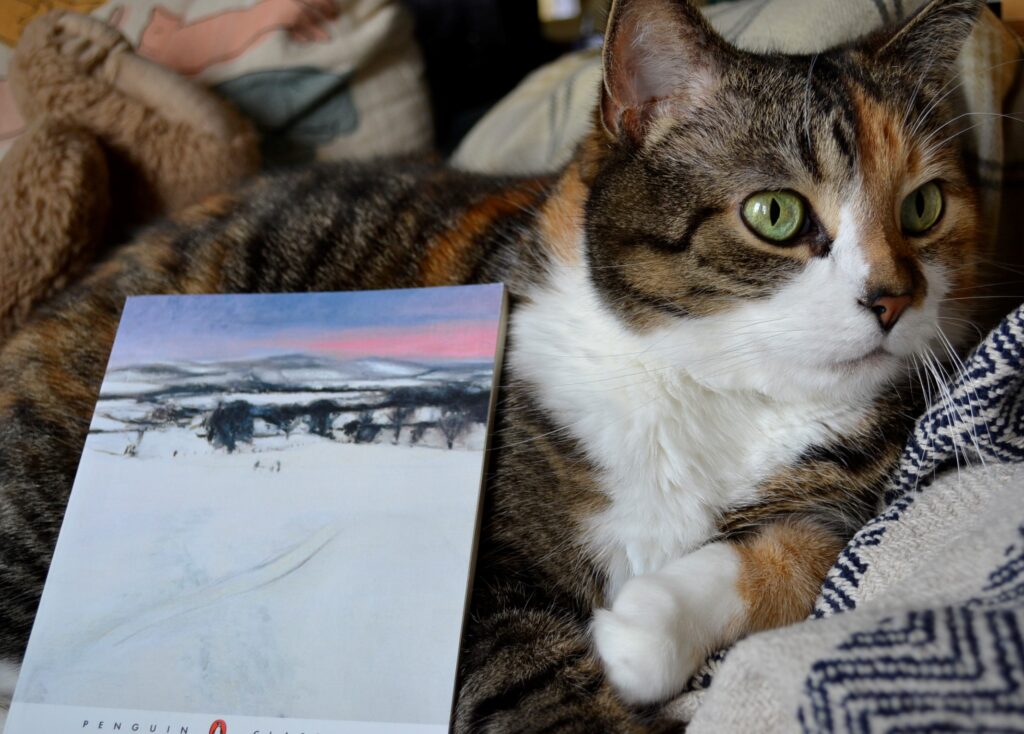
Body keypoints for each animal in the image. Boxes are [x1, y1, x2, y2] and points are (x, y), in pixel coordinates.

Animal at [0, 0, 987, 728]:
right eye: (776, 214)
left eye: (925, 206)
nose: (893, 298)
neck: (714, 392)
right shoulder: (490, 575)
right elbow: (538, 676)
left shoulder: (847, 491)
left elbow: (801, 552)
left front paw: (643, 633)